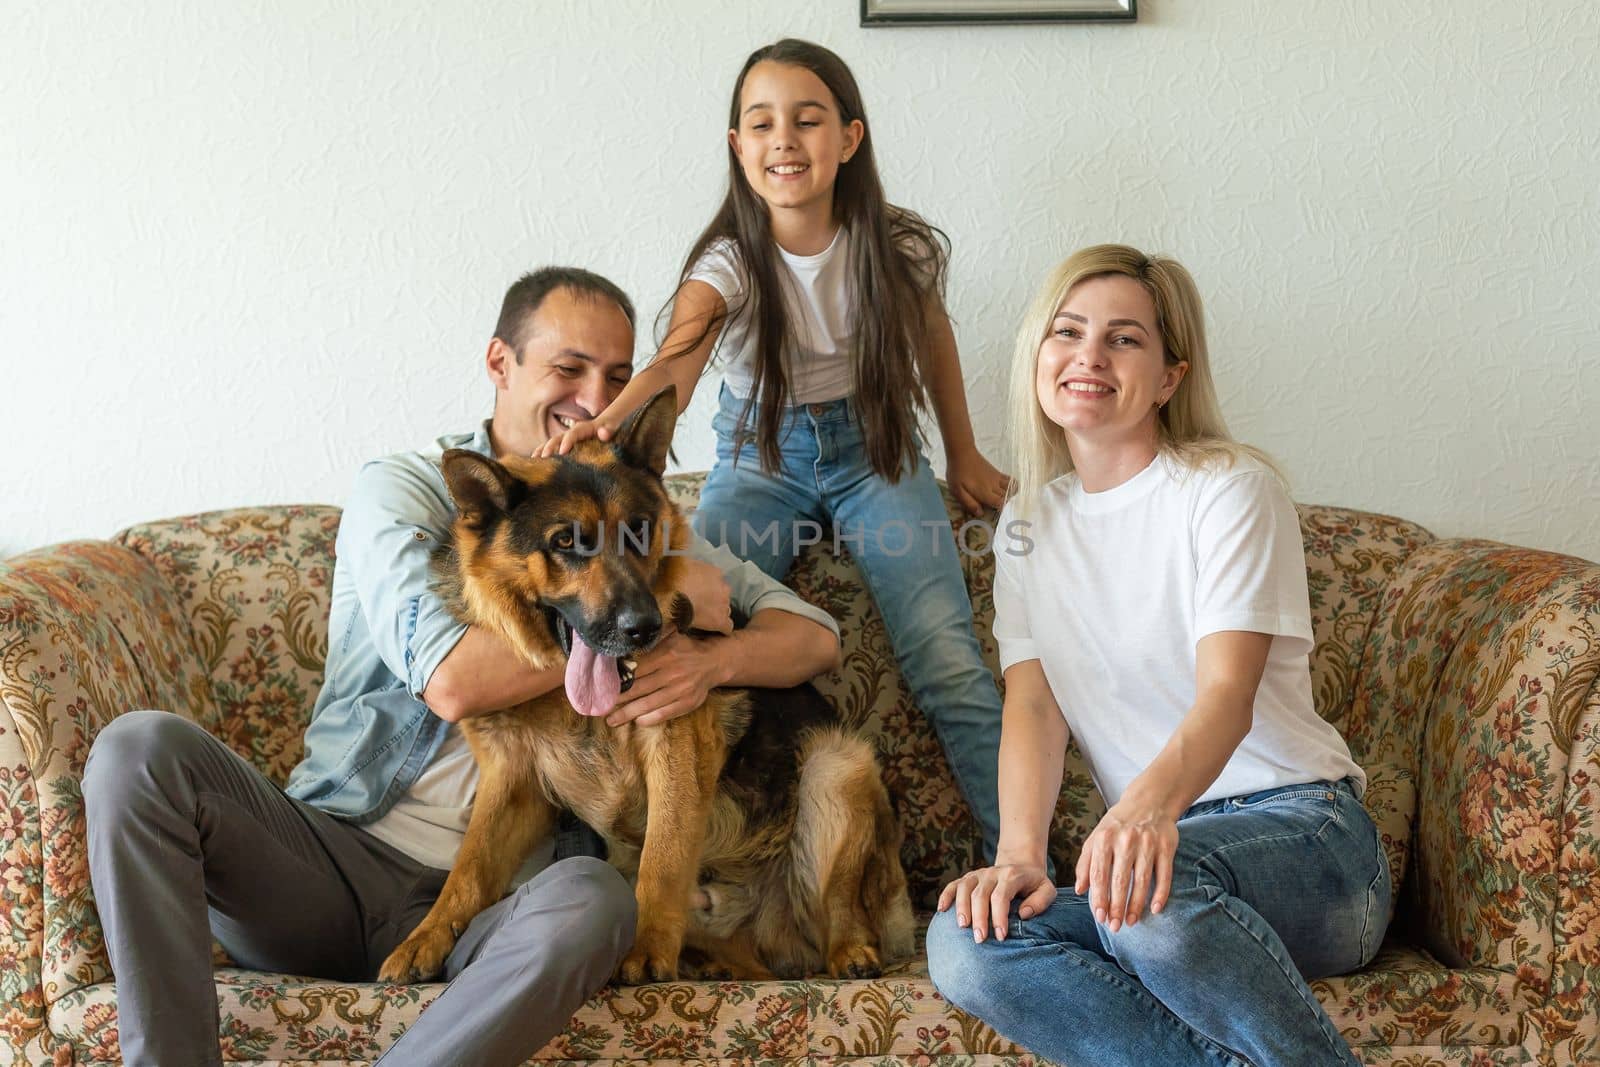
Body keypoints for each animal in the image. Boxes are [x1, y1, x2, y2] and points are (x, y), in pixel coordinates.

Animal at [376, 388, 921, 991]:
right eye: (565, 542)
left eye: (639, 531)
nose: (645, 628)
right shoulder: (512, 783)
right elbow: (468, 870)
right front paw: (425, 938)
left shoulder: (675, 750)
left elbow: (662, 858)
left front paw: (643, 948)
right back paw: (715, 963)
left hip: (835, 766)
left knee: (840, 910)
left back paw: (851, 951)